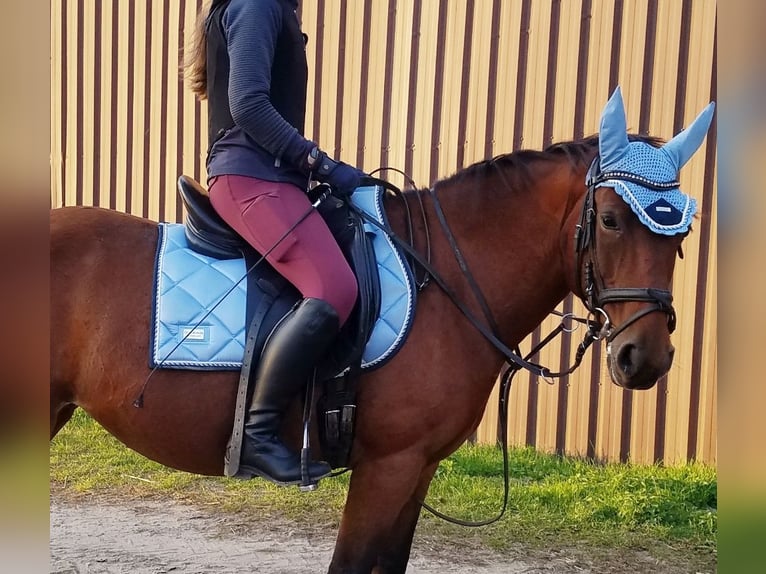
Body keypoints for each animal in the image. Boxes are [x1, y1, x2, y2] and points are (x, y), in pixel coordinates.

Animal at [51, 89, 716, 572]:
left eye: (682, 233)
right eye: (610, 220)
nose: (645, 358)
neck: (445, 279)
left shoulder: (416, 470)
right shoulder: (387, 468)